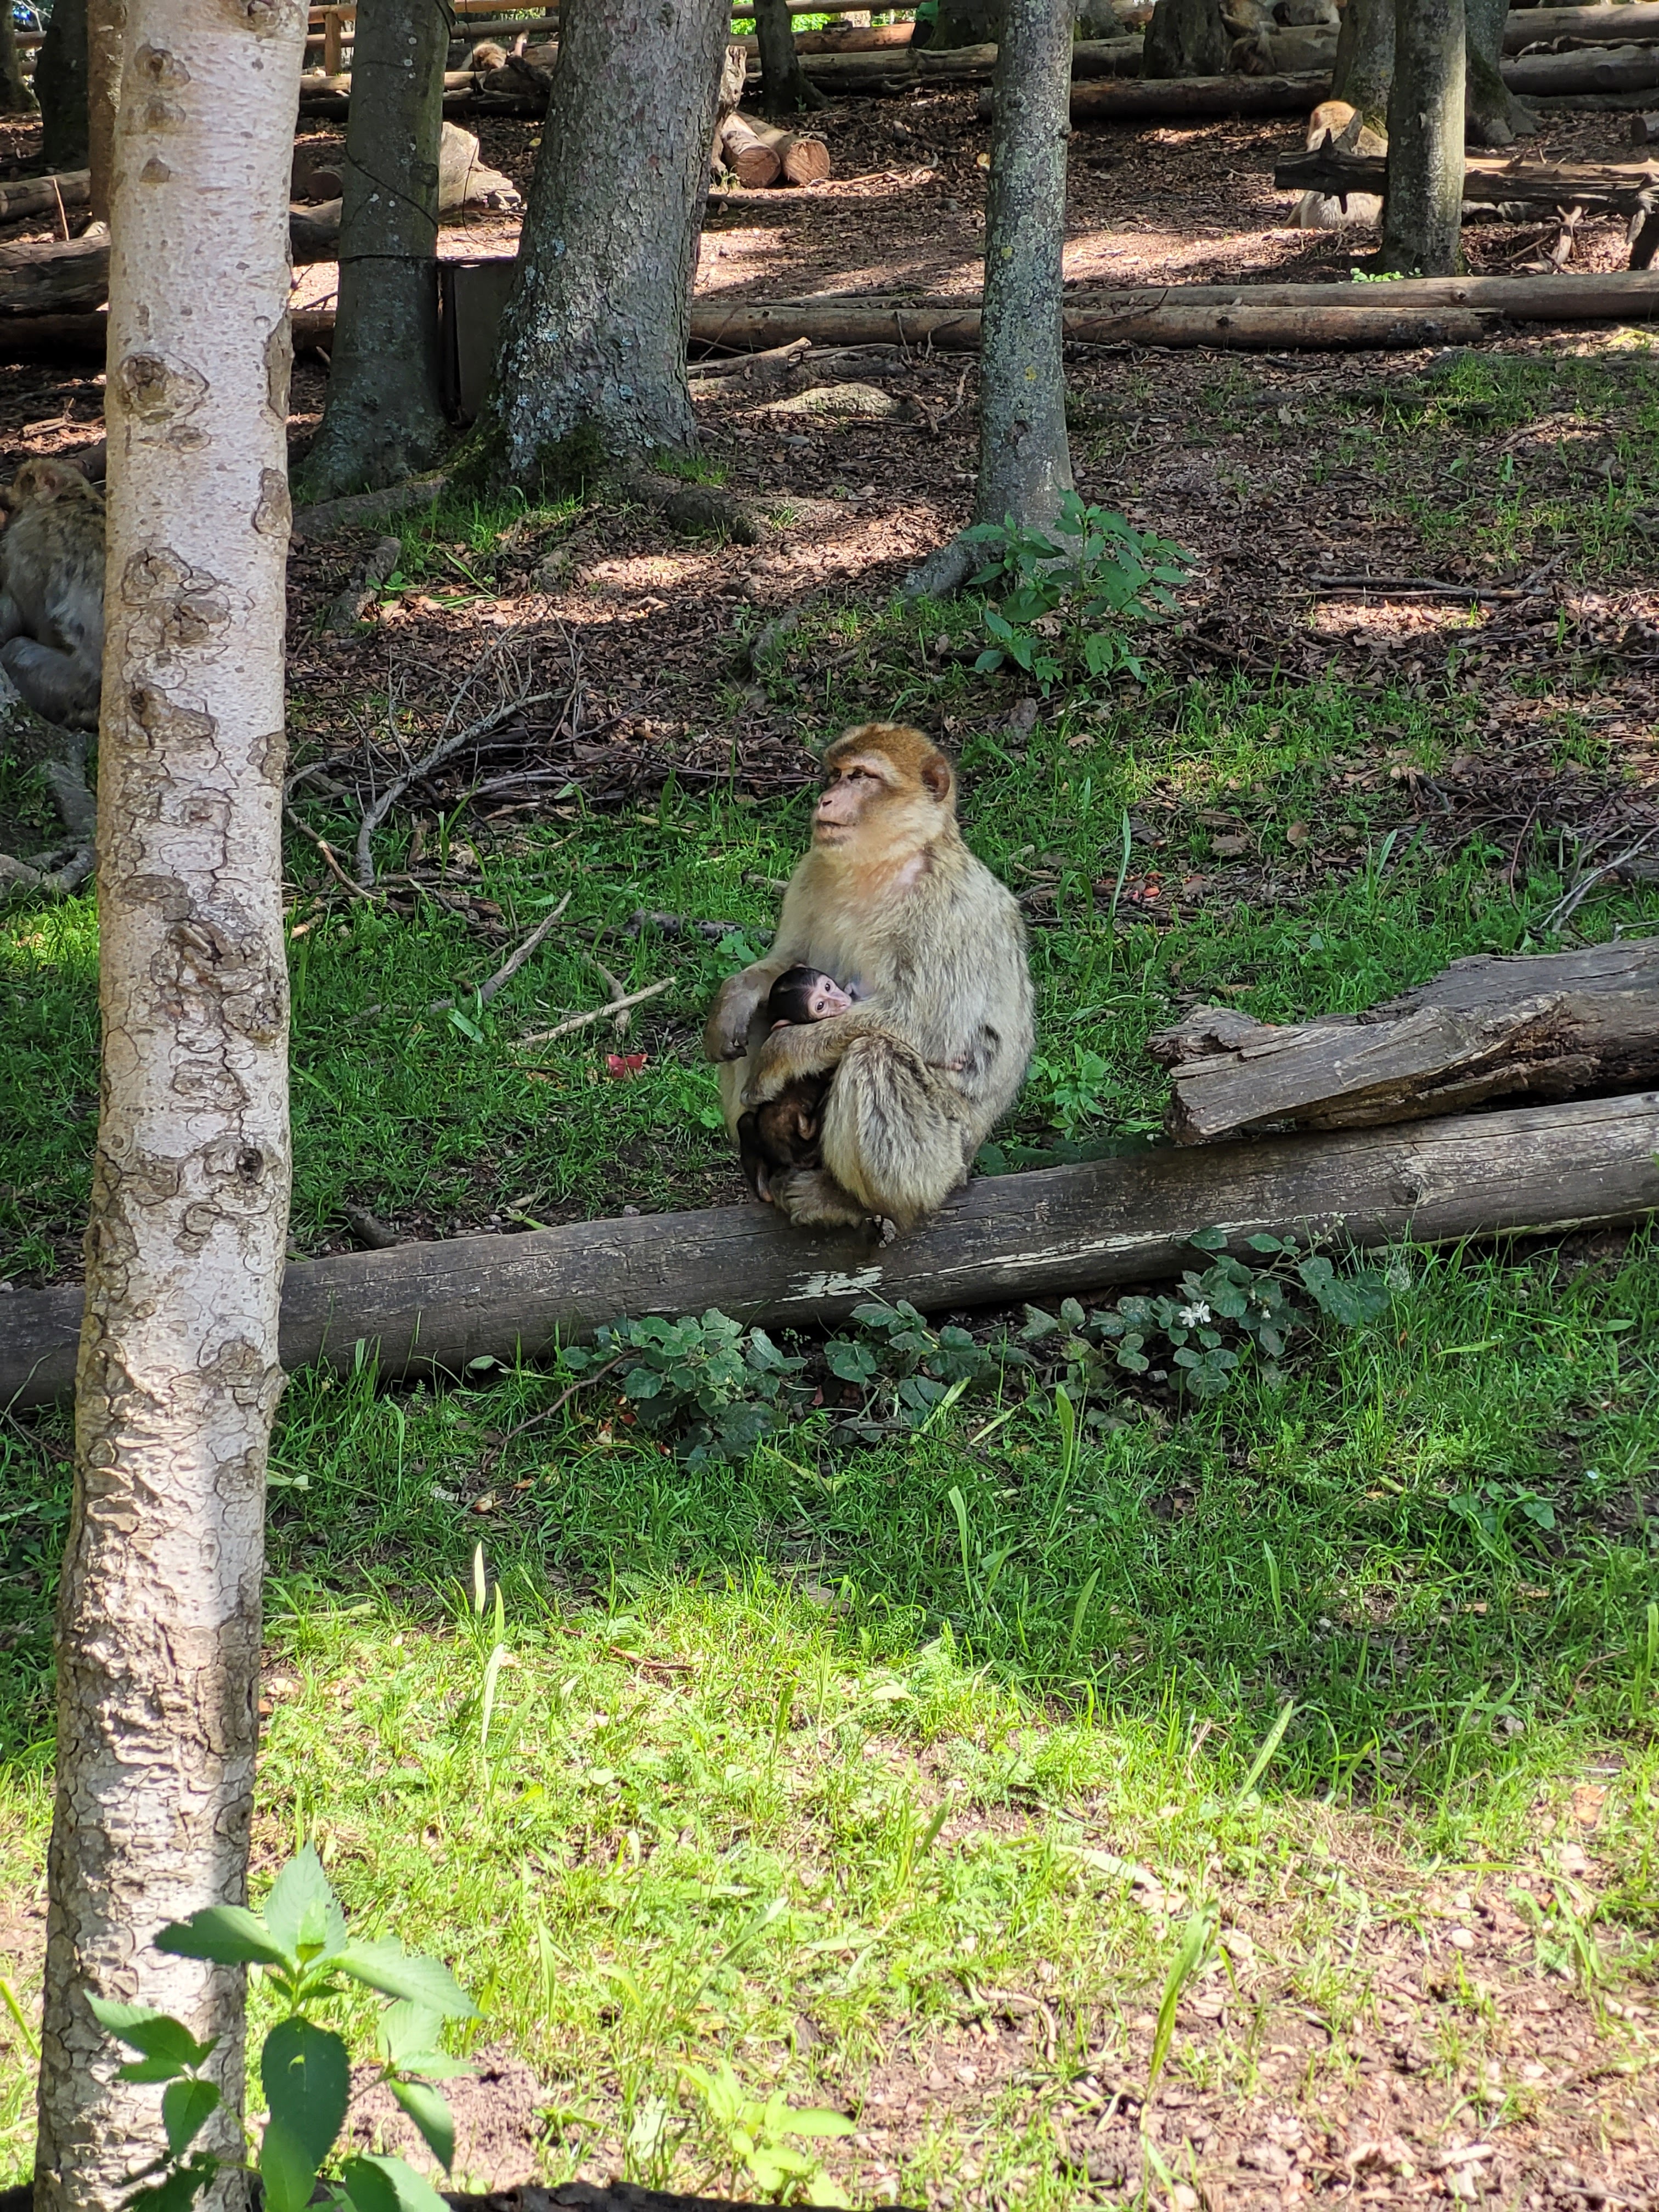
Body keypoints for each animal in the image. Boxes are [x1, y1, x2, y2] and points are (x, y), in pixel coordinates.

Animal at [0, 458, 105, 731]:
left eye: (23, 482)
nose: (5, 494)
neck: (70, 499)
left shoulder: (25, 546)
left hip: (70, 685)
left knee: (16, 650)